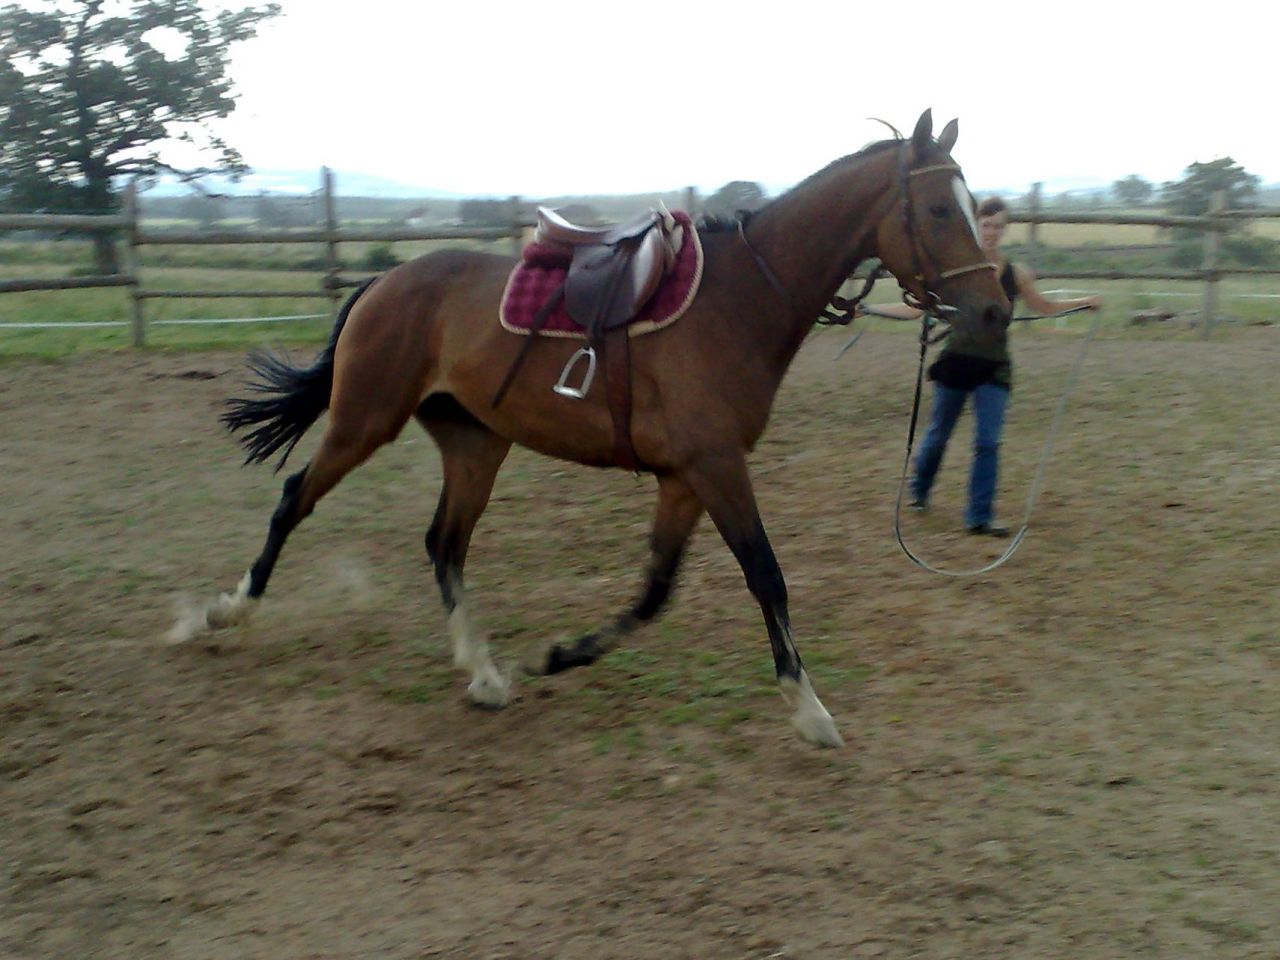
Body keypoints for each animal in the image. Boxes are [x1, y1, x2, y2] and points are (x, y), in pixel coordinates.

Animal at [174, 110, 1010, 748]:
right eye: (940, 210)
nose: (994, 309)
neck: (740, 299)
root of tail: (385, 280)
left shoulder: (686, 478)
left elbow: (654, 592)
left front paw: (561, 656)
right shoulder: (716, 467)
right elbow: (765, 575)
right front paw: (809, 710)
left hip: (476, 444)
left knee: (444, 542)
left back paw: (483, 672)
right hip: (363, 422)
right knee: (296, 499)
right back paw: (224, 612)